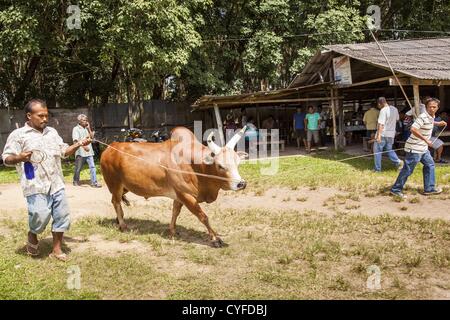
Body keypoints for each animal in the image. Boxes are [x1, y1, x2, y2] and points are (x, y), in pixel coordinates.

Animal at [99, 126, 246, 246]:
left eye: (238, 163)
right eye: (220, 165)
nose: (241, 183)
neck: (197, 167)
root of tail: (109, 147)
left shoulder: (179, 196)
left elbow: (175, 212)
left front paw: (172, 231)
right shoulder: (186, 195)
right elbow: (203, 216)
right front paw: (215, 238)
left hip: (125, 187)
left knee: (117, 201)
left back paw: (119, 220)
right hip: (115, 184)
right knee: (116, 202)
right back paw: (123, 225)